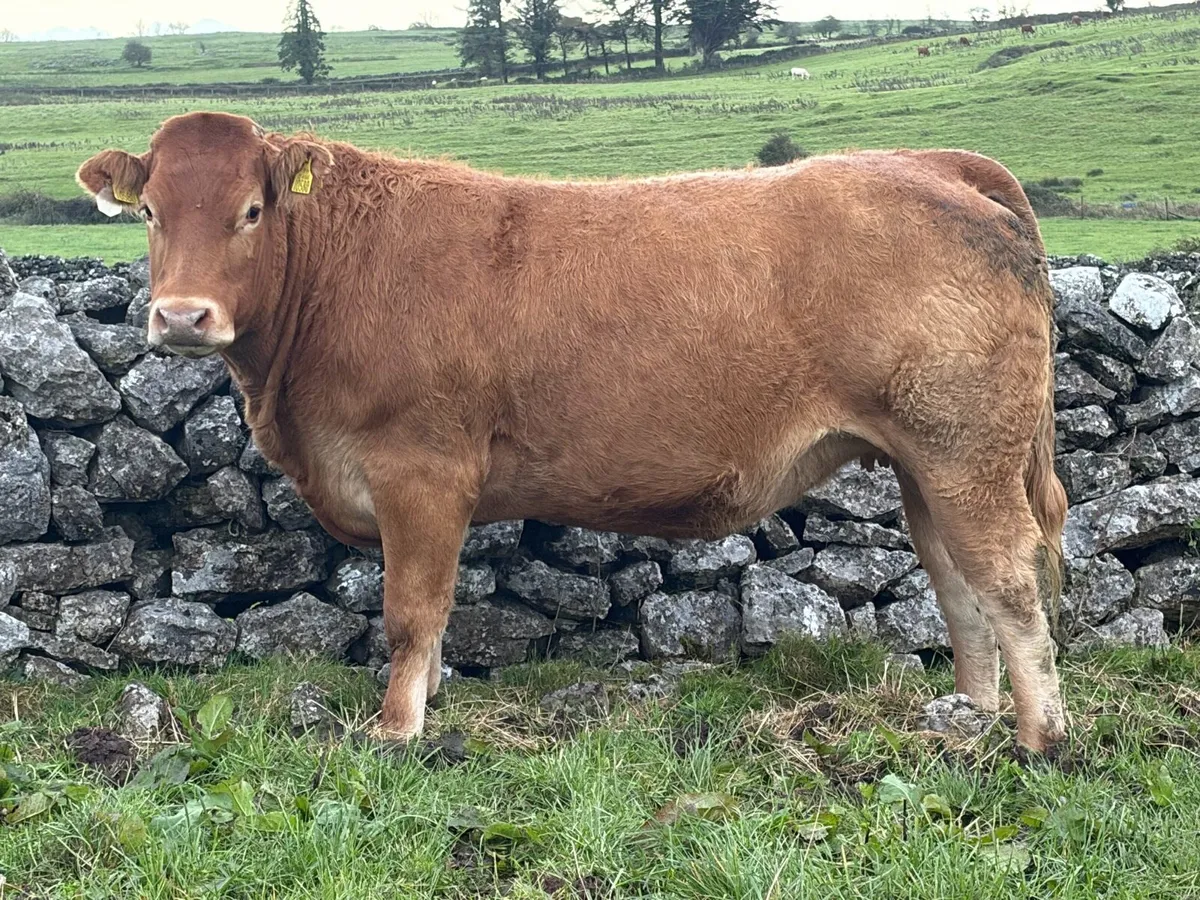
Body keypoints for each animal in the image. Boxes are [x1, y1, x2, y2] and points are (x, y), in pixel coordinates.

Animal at [76, 112, 1070, 755]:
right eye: (152, 213)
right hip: (925, 462)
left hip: (966, 450)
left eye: (250, 211)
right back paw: (968, 720)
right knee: (957, 585)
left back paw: (1040, 738)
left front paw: (396, 730)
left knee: (1009, 582)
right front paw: (425, 705)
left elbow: (411, 612)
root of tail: (929, 163)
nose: (182, 317)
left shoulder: (420, 471)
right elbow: (436, 616)